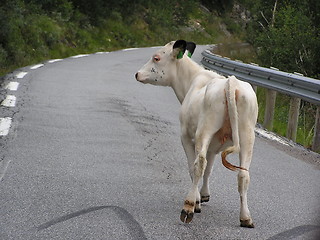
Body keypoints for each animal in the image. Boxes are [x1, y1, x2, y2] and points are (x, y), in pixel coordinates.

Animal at [135, 39, 258, 227]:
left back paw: (188, 207)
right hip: (247, 135)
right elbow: (209, 170)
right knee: (243, 174)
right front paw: (205, 195)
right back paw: (245, 217)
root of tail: (231, 82)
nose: (137, 74)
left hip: (204, 130)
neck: (191, 81)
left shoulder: (185, 136)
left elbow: (194, 168)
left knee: (199, 163)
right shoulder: (214, 145)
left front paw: (198, 201)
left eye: (156, 58)